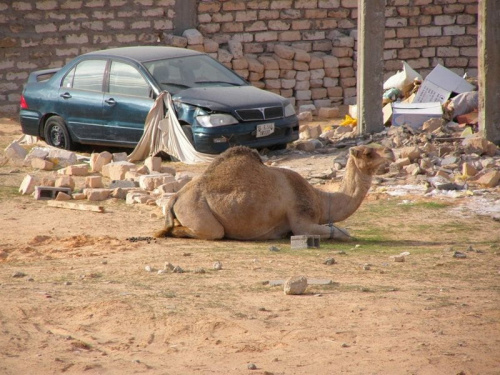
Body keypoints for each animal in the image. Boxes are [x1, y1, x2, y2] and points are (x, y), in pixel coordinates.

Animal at [155, 144, 394, 241]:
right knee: (212, 232)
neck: (320, 200)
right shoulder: (301, 219)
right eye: (368, 153)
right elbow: (341, 232)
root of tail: (176, 197)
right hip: (198, 211)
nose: (390, 152)